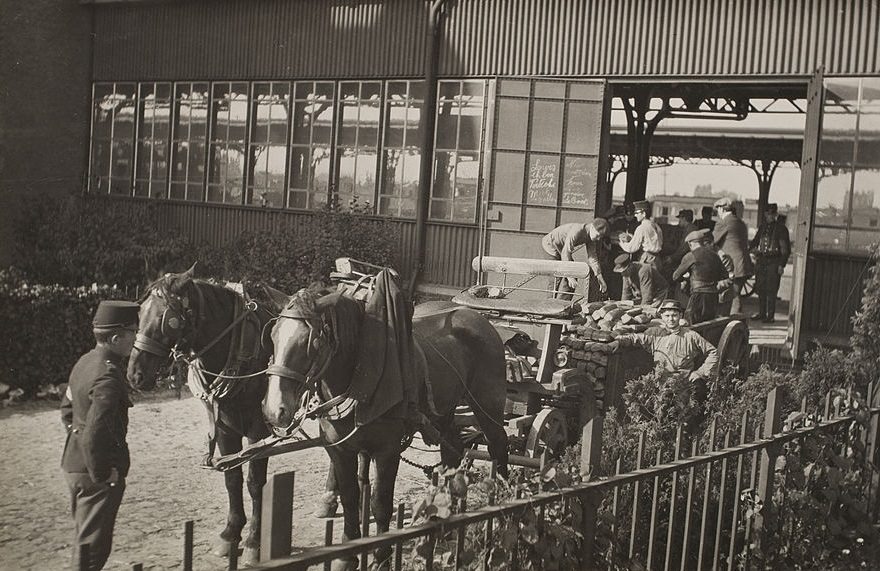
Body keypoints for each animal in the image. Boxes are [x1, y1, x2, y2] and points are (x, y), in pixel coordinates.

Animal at [125, 268, 286, 564]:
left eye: (167, 319)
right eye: (140, 312)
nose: (135, 374)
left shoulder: (259, 430)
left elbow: (254, 483)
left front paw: (254, 542)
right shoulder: (224, 426)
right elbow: (231, 479)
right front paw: (230, 533)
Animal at [262, 292, 508, 568]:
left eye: (312, 342)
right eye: (273, 336)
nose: (275, 410)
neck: (363, 378)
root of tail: (478, 318)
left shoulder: (387, 451)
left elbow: (380, 503)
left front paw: (381, 557)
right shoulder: (339, 450)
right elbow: (350, 498)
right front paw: (347, 556)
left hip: (487, 402)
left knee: (499, 446)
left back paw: (504, 509)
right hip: (443, 411)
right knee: (451, 450)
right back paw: (447, 520)